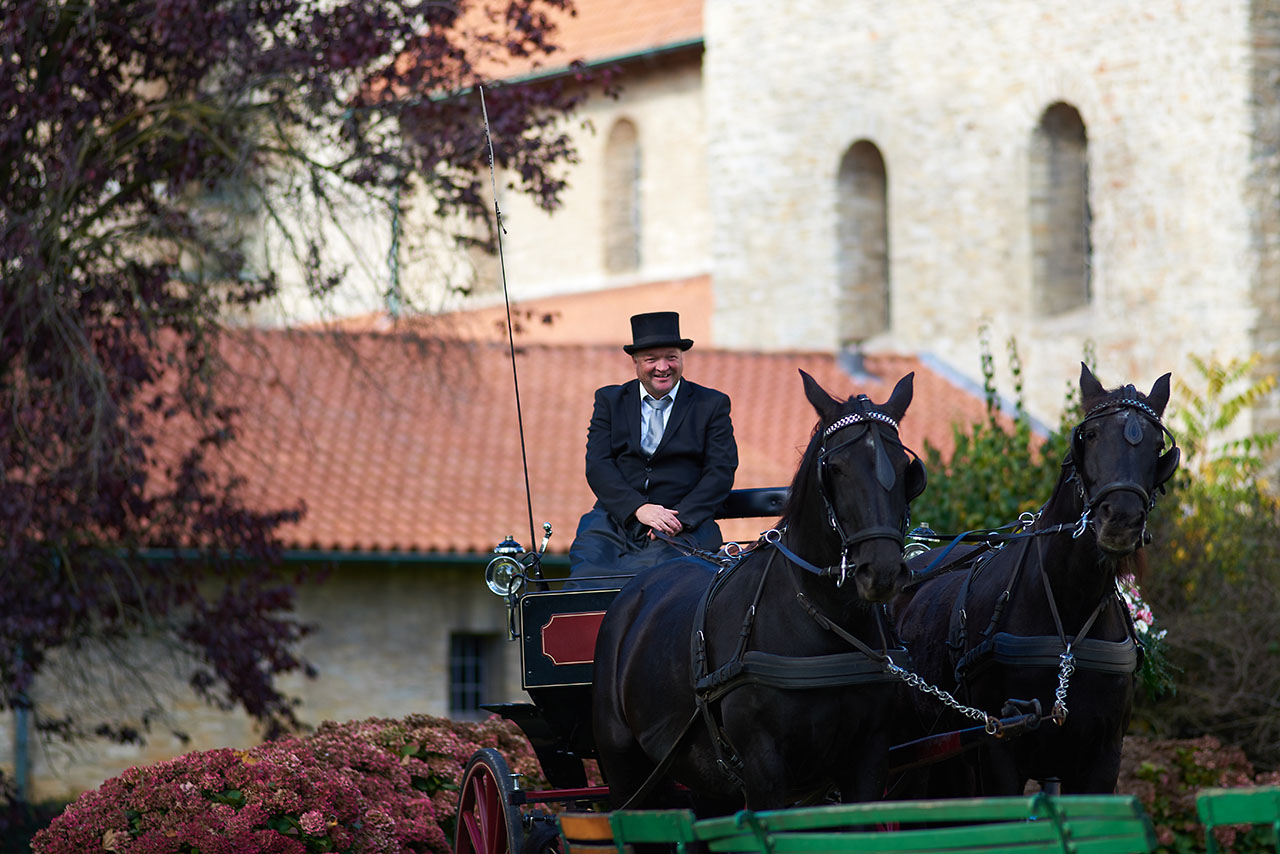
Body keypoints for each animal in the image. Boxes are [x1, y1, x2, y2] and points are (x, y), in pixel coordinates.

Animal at [593, 371, 926, 814]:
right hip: (624, 770)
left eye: (907, 469)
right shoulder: (764, 768)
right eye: (835, 469)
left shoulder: (868, 758)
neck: (823, 623)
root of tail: (635, 590)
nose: (882, 571)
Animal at [890, 363, 1177, 798]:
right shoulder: (998, 747)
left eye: (1158, 445)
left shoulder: (1103, 757)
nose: (1122, 519)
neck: (1067, 615)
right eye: (1090, 435)